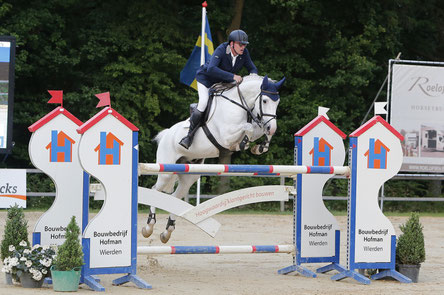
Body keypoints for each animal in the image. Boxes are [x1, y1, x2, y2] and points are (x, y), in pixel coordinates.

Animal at [143, 74, 288, 243]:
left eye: (277, 102)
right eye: (264, 101)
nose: (272, 127)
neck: (239, 104)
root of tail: (166, 134)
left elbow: (258, 130)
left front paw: (260, 147)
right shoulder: (226, 136)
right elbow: (248, 128)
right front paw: (244, 143)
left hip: (189, 175)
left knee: (175, 196)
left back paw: (167, 231)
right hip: (166, 170)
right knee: (155, 190)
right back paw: (148, 227)